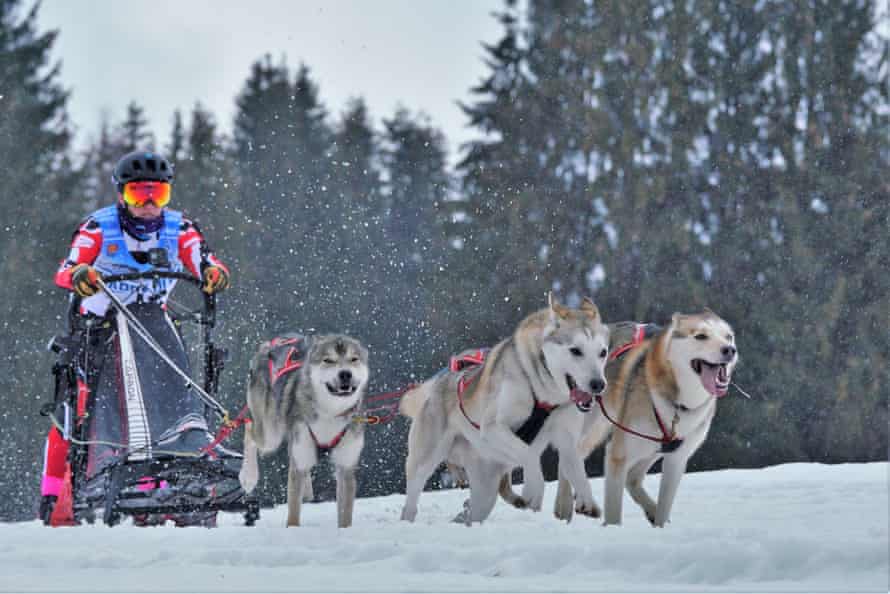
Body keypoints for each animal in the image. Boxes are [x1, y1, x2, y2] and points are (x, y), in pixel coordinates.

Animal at [236, 332, 368, 528]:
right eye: (328, 360)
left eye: (354, 359)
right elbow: (293, 513)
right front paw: (293, 528)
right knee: (249, 429)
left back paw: (306, 490)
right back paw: (248, 475)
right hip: (270, 433)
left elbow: (345, 515)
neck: (329, 413)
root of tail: (273, 342)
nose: (345, 373)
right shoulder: (298, 456)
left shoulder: (346, 466)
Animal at [400, 294, 612, 520]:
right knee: (411, 502)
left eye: (602, 352)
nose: (599, 384)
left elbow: (578, 472)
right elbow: (530, 456)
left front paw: (588, 502)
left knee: (473, 513)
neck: (544, 395)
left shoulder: (567, 440)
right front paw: (534, 491)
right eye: (575, 350)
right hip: (425, 460)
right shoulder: (493, 428)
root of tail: (438, 383)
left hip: (485, 493)